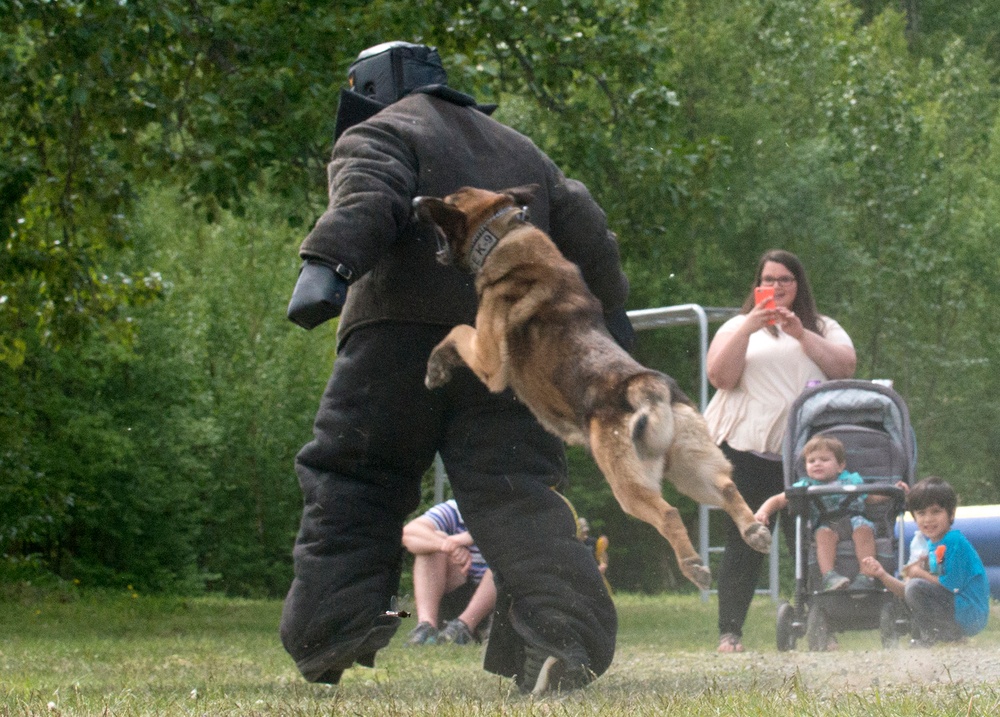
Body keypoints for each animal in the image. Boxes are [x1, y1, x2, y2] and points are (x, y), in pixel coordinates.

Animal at [410, 185, 768, 588]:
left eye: (449, 199)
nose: (415, 201)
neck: (504, 234)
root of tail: (646, 385)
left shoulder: (489, 360)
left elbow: (456, 332)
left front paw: (436, 365)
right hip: (690, 468)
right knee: (726, 488)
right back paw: (753, 531)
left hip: (628, 485)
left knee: (669, 513)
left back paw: (693, 564)